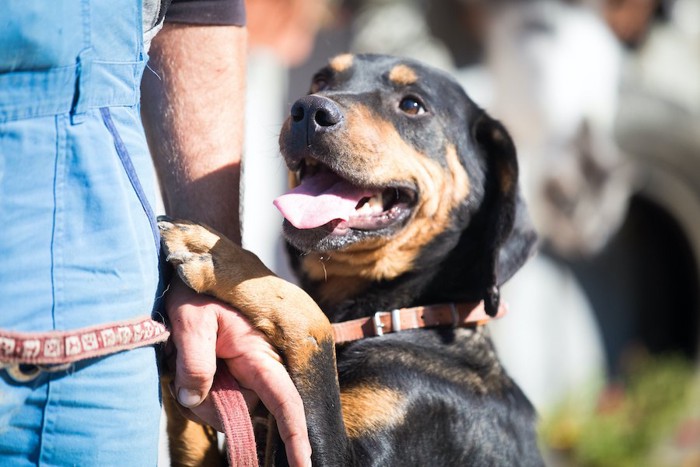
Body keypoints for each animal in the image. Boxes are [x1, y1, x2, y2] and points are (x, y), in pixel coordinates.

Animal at [160, 53, 540, 466]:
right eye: (321, 81)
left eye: (412, 105)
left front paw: (215, 252)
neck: (401, 317)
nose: (309, 111)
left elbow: (315, 325)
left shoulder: (327, 451)